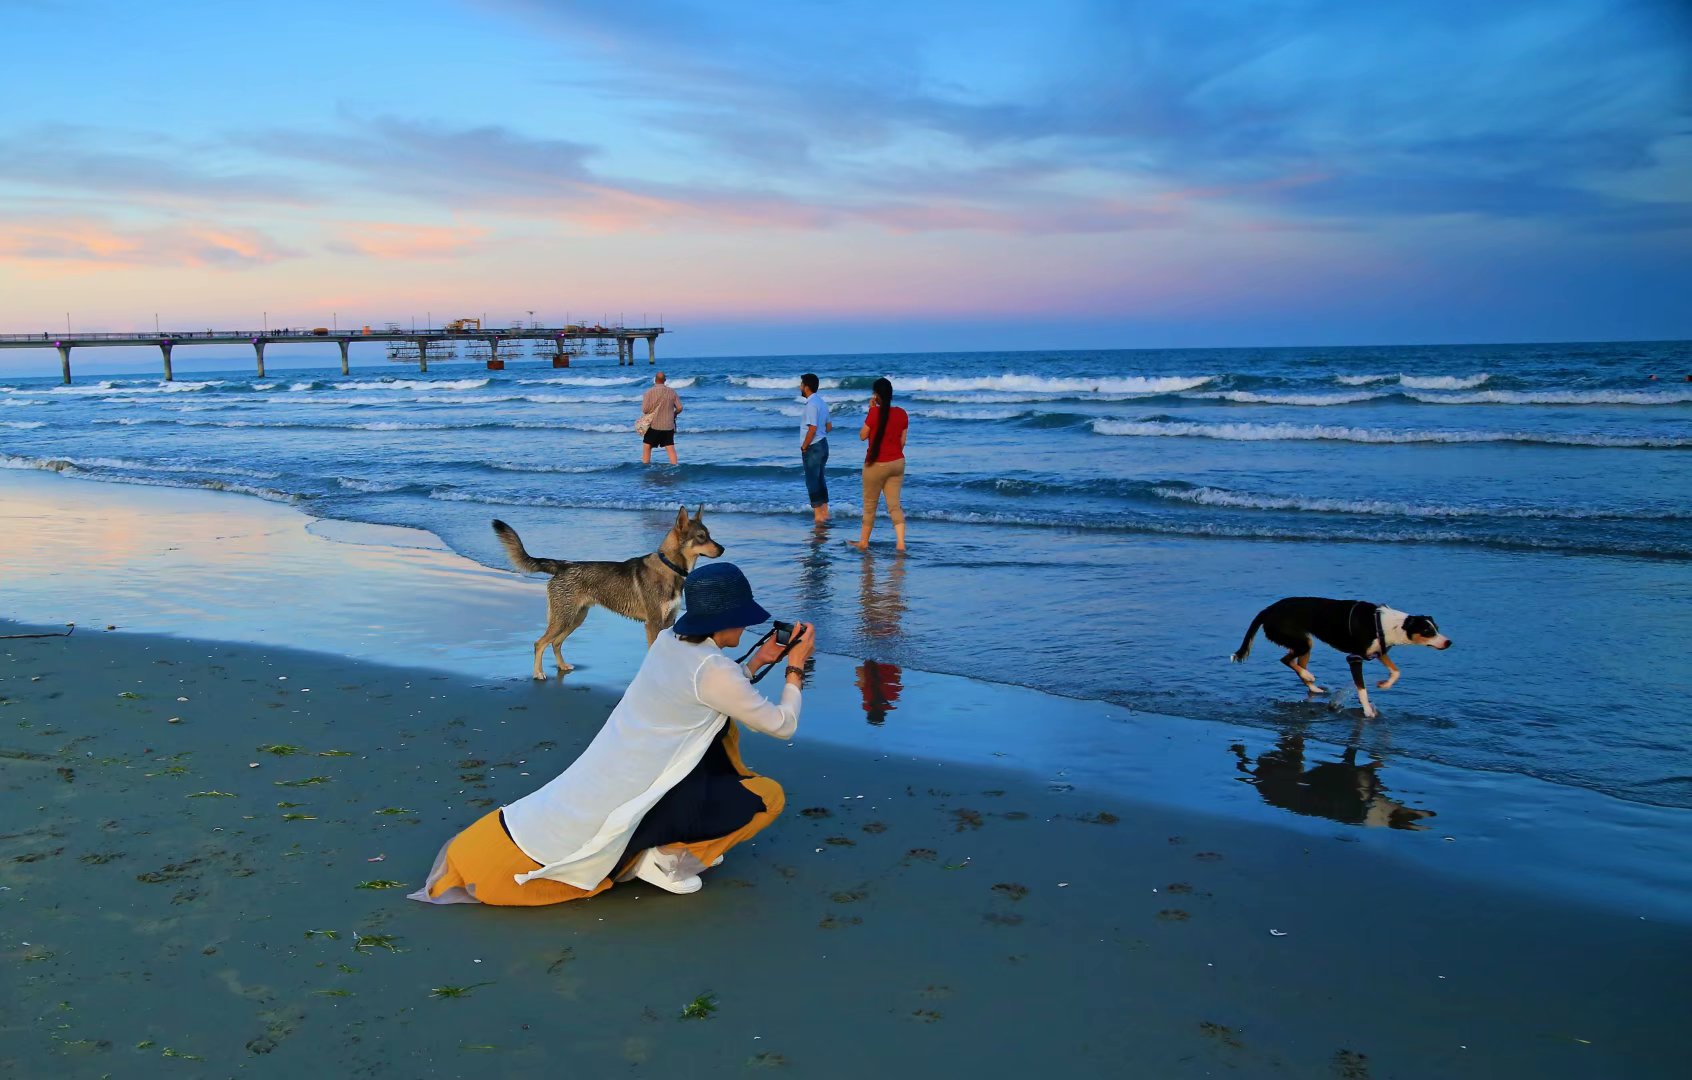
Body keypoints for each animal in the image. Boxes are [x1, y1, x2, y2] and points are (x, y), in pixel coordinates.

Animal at [494, 511, 724, 680]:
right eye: (701, 537)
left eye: (709, 535)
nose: (722, 549)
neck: (669, 567)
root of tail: (563, 565)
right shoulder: (654, 623)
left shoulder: (669, 621)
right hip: (564, 618)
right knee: (540, 643)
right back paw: (538, 673)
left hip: (575, 619)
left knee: (555, 643)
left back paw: (561, 666)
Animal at [1231, 602, 1455, 717]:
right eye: (1427, 631)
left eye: (1436, 628)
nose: (1448, 642)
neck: (1386, 624)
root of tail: (1267, 610)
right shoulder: (1354, 658)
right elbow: (1362, 690)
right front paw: (1368, 712)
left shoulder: (1378, 651)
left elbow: (1396, 671)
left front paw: (1385, 684)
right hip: (1300, 641)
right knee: (1286, 660)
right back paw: (1309, 676)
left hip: (1305, 642)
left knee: (1296, 663)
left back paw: (1313, 686)